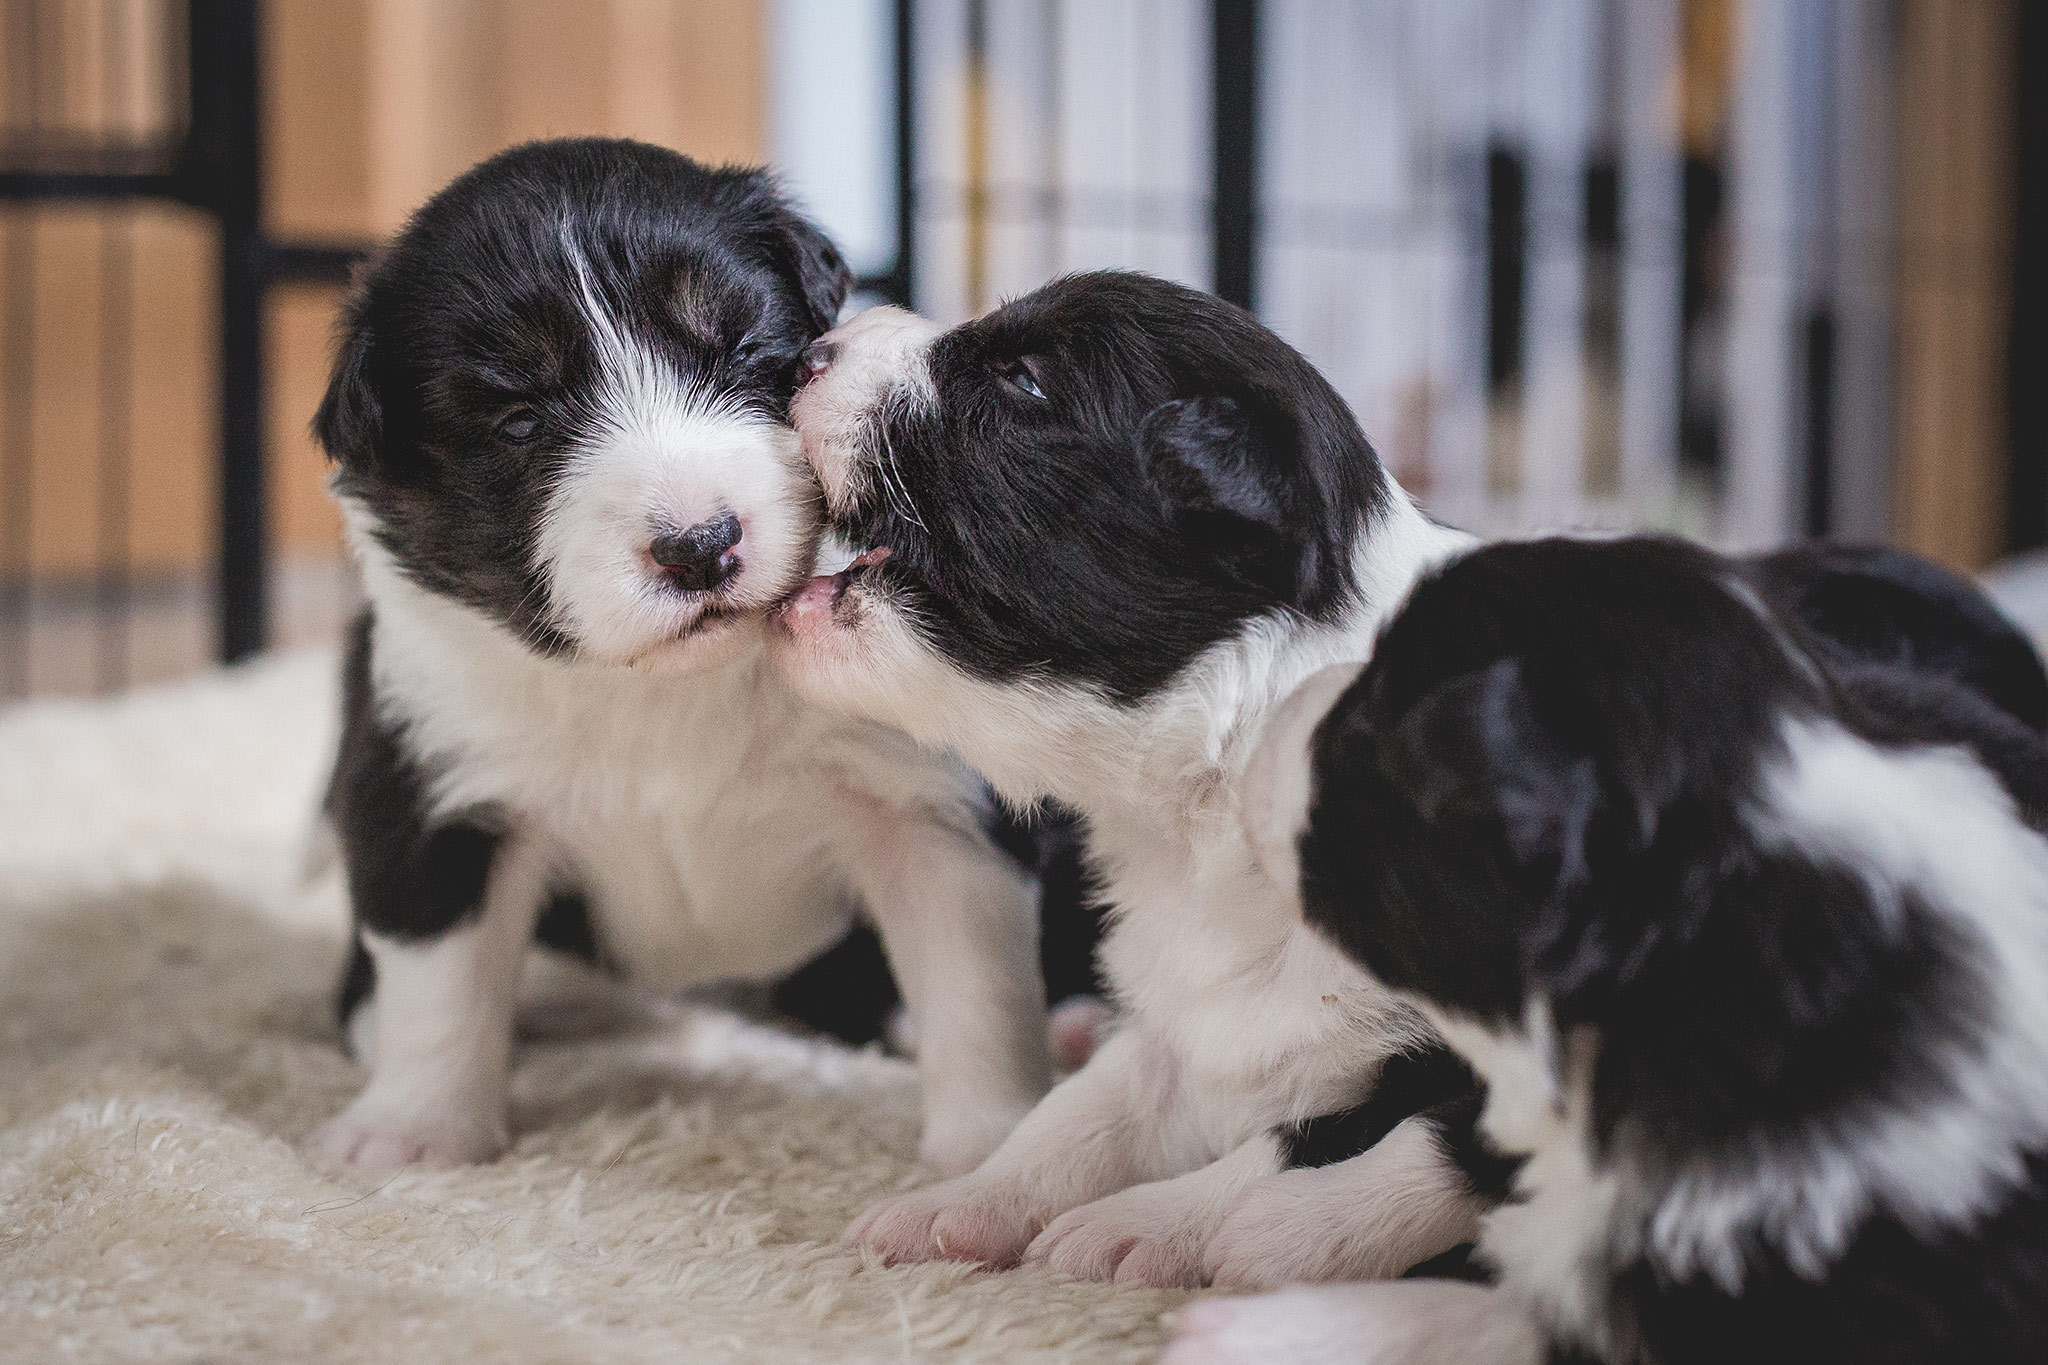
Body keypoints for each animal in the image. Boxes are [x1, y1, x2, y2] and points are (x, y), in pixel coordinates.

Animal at [319, 144, 1056, 1178]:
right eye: (518, 421)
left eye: (740, 351)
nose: (700, 546)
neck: (672, 688)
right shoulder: (432, 781)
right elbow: (438, 979)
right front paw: (412, 1133)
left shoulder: (922, 798)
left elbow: (977, 983)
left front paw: (992, 1142)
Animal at [761, 272, 1482, 1285]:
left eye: (1024, 381)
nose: (805, 355)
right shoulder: (1183, 1009)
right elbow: (1087, 1109)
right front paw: (960, 1204)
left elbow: (1322, 1135)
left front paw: (1164, 1224)